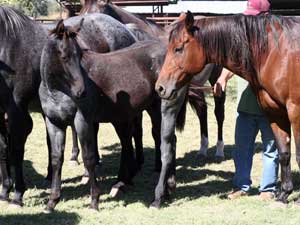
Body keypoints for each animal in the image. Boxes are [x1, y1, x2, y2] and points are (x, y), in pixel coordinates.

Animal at [40, 19, 171, 211]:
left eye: (80, 54)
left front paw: (94, 200)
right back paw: (125, 183)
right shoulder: (54, 123)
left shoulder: (82, 121)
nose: (82, 91)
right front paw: (52, 201)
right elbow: (56, 159)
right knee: (129, 141)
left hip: (157, 110)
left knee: (163, 141)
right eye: (64, 56)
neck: (58, 91)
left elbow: (89, 158)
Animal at [81, 0, 226, 161]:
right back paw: (203, 148)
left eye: (95, 16)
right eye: (81, 12)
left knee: (219, 113)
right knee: (202, 110)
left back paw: (219, 150)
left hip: (216, 81)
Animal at [155, 10, 300, 207]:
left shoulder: (295, 111)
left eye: (178, 48)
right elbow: (284, 153)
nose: (160, 87)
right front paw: (284, 194)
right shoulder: (275, 112)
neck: (276, 53)